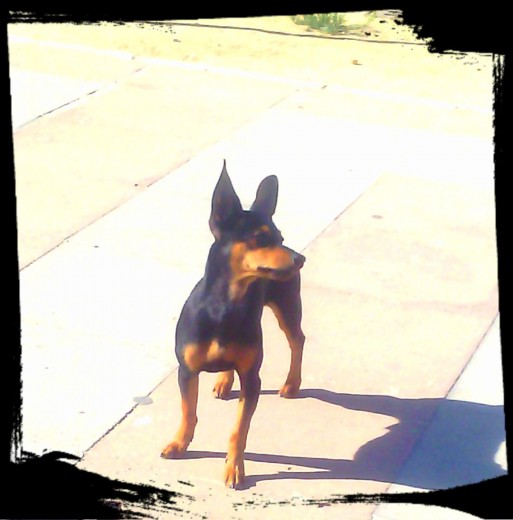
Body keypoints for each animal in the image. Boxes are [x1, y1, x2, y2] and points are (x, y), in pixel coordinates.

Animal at [160, 161, 304, 488]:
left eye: (281, 237)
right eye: (261, 238)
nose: (300, 258)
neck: (225, 306)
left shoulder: (252, 378)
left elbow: (239, 429)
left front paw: (234, 468)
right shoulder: (187, 370)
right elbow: (188, 411)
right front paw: (179, 443)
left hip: (288, 304)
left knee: (297, 340)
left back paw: (292, 383)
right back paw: (224, 381)